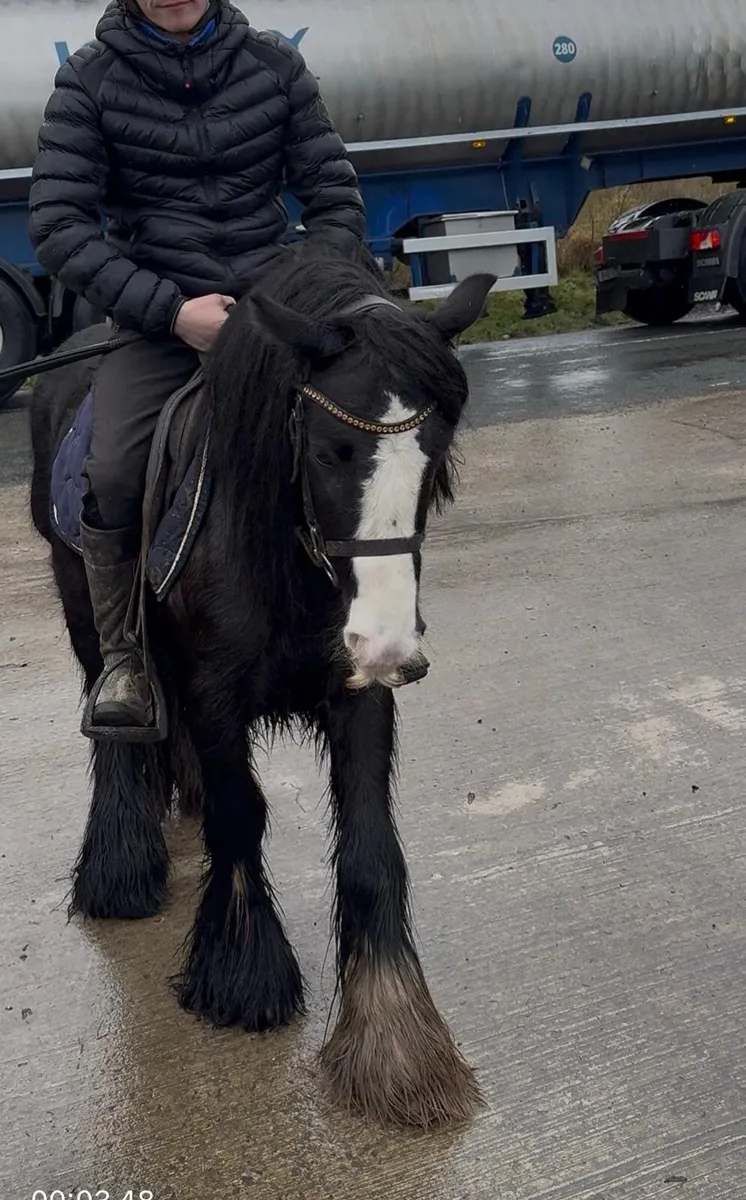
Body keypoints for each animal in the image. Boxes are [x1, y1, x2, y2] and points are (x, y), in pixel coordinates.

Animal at [29, 249, 495, 1129]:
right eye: (329, 450)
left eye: (436, 451)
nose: (392, 646)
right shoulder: (215, 697)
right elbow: (242, 816)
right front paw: (243, 974)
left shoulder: (357, 694)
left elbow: (372, 847)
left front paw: (394, 1042)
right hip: (82, 603)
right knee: (114, 728)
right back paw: (124, 862)